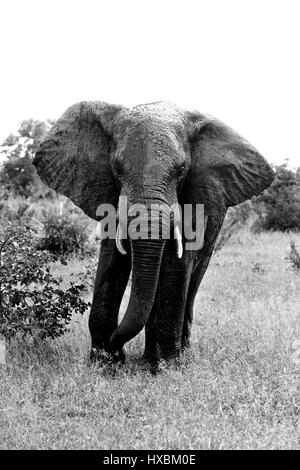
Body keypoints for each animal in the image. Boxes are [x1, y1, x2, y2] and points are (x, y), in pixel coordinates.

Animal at [33, 101, 274, 370]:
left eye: (181, 170)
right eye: (117, 169)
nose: (114, 348)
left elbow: (177, 263)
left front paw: (168, 367)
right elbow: (112, 261)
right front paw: (104, 364)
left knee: (192, 281)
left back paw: (170, 357)